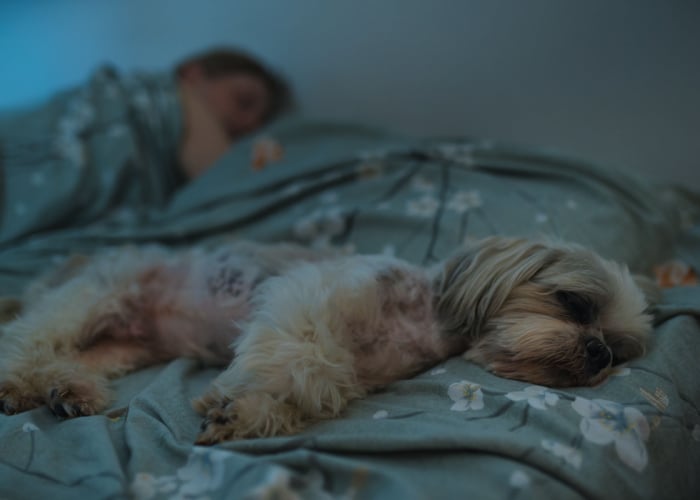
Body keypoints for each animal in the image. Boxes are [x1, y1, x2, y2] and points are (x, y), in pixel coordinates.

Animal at [0, 237, 656, 442]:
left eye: (619, 350)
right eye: (574, 303)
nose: (597, 353)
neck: (424, 315)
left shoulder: (361, 369)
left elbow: (324, 383)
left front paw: (249, 414)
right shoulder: (308, 298)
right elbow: (310, 359)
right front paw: (239, 402)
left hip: (126, 344)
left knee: (71, 358)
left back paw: (69, 391)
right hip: (94, 297)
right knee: (27, 338)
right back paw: (18, 385)